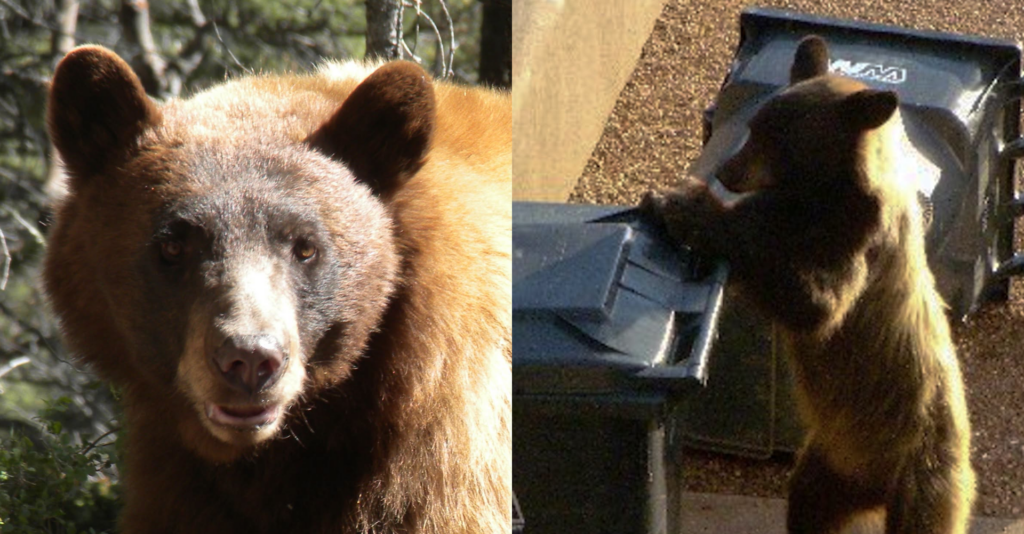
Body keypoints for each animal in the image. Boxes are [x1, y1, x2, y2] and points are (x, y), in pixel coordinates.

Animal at [641, 36, 974, 534]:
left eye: (778, 140)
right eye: (754, 126)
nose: (726, 172)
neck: (821, 195)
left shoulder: (857, 239)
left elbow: (818, 304)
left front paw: (689, 207)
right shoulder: (788, 210)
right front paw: (667, 198)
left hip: (923, 473)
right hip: (829, 466)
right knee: (808, 503)